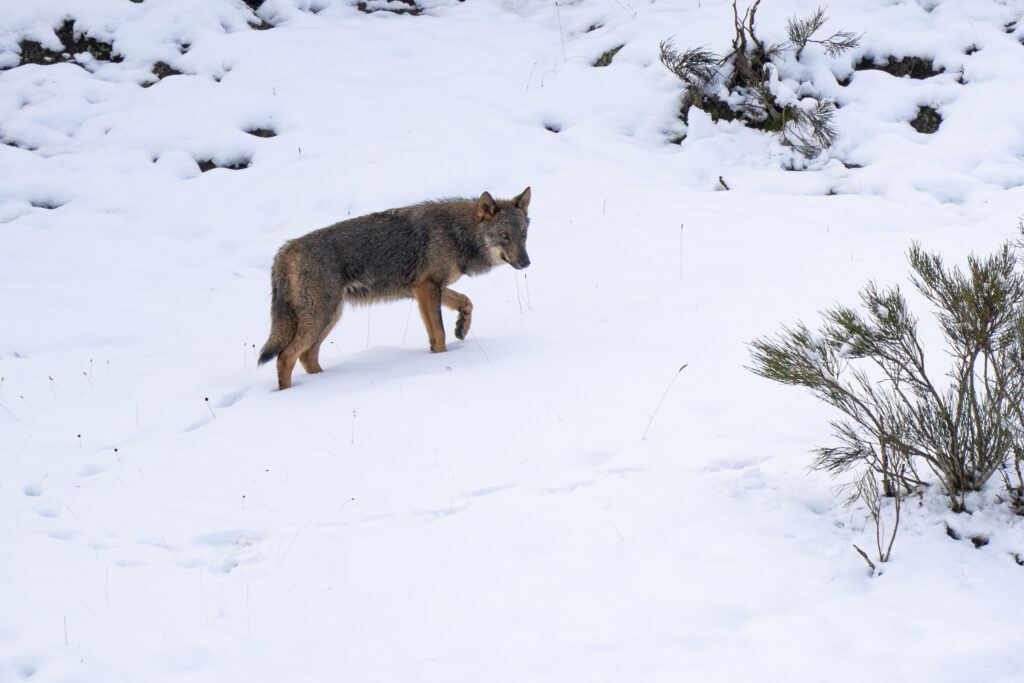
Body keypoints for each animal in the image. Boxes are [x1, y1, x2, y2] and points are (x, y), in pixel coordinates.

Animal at [258, 187, 531, 389]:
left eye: (523, 234)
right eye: (504, 235)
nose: (527, 262)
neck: (456, 233)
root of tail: (285, 250)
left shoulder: (425, 288)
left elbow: (466, 301)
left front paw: (461, 327)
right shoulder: (427, 287)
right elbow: (440, 334)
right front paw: (443, 359)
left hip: (330, 317)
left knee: (307, 356)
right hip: (320, 317)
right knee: (285, 357)